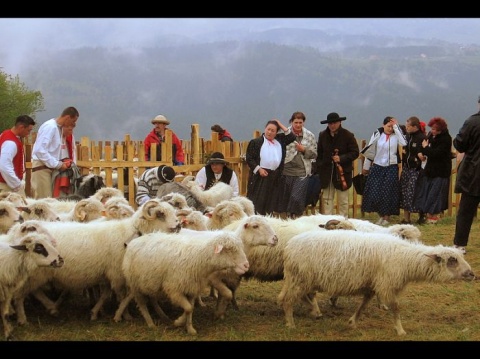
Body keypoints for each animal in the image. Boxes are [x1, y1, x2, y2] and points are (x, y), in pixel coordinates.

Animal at [12, 198, 182, 324]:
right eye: (160, 214)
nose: (179, 225)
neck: (131, 233)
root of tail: (16, 232)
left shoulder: (112, 274)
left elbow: (107, 294)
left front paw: (95, 312)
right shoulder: (119, 274)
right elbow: (124, 296)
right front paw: (125, 315)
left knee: (34, 291)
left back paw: (49, 307)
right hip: (36, 273)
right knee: (22, 295)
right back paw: (25, 317)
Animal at [111, 231, 248, 334]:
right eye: (229, 249)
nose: (246, 265)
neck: (198, 258)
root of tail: (133, 242)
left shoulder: (191, 288)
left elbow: (190, 309)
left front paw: (189, 328)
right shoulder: (174, 289)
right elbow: (188, 308)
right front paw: (178, 322)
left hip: (149, 282)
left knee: (142, 298)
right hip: (136, 284)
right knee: (142, 304)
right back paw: (150, 323)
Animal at [280, 231, 474, 338]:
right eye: (453, 260)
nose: (472, 274)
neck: (405, 259)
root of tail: (288, 246)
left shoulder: (374, 284)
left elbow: (364, 303)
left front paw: (353, 321)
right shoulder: (386, 284)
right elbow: (395, 307)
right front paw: (400, 330)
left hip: (300, 279)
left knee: (292, 297)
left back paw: (313, 312)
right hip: (299, 278)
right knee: (287, 300)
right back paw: (290, 323)